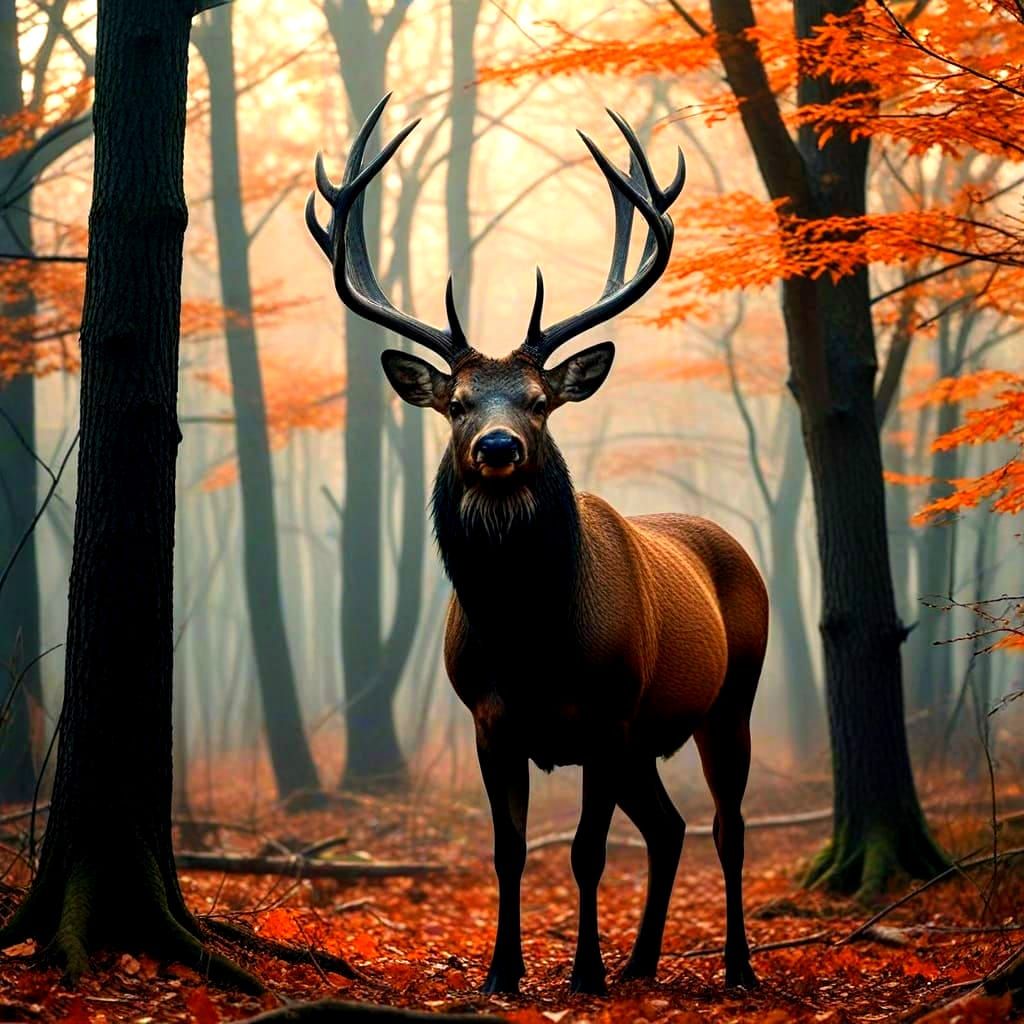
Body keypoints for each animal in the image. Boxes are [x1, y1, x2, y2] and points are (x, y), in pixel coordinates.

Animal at [306, 95, 769, 997]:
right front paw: (503, 972)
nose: (497, 446)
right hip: (649, 739)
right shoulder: (491, 720)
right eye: (455, 402)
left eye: (537, 400)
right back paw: (642, 963)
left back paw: (735, 967)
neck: (531, 641)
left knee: (727, 827)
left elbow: (586, 854)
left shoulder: (607, 712)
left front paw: (583, 973)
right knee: (670, 827)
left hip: (731, 698)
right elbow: (510, 851)